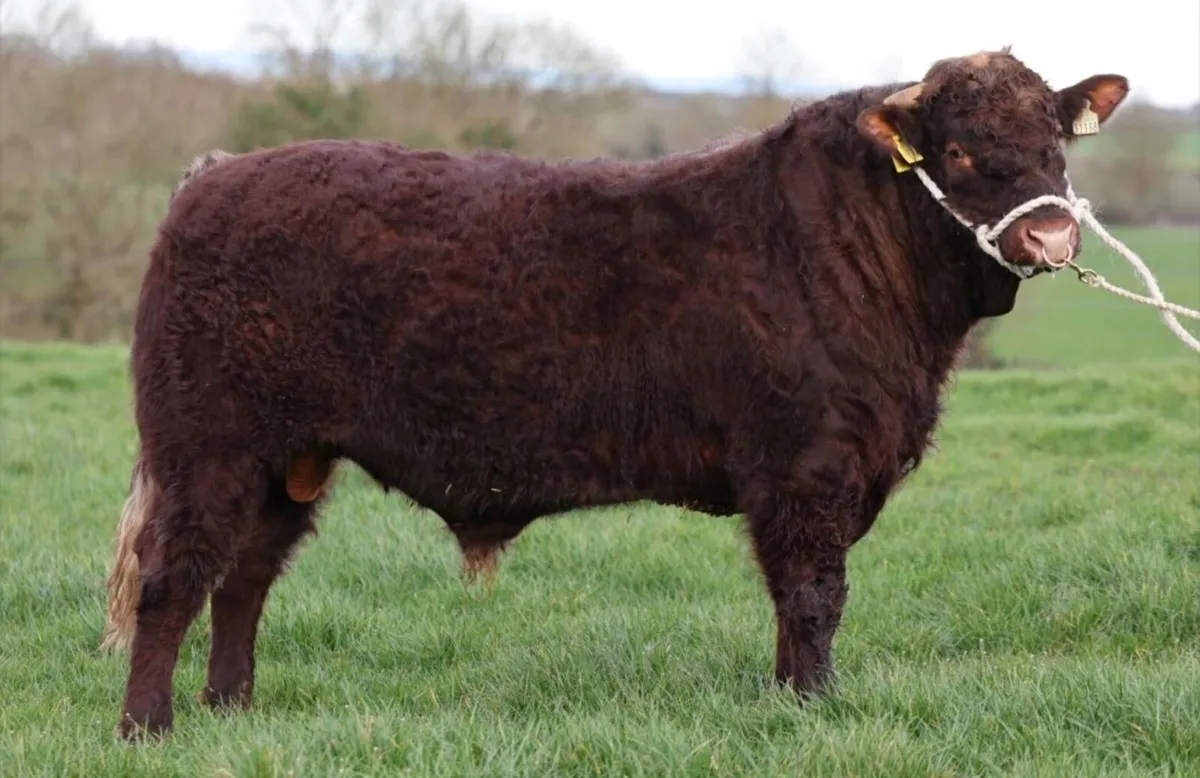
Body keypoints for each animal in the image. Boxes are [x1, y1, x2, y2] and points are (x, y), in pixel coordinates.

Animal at [100, 47, 1128, 740]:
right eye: (957, 152)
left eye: (1054, 142)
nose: (1049, 238)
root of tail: (216, 178)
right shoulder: (806, 466)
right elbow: (812, 594)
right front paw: (810, 704)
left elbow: (798, 600)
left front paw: (789, 699)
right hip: (208, 449)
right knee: (174, 579)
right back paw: (149, 727)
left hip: (287, 461)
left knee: (243, 579)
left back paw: (231, 708)